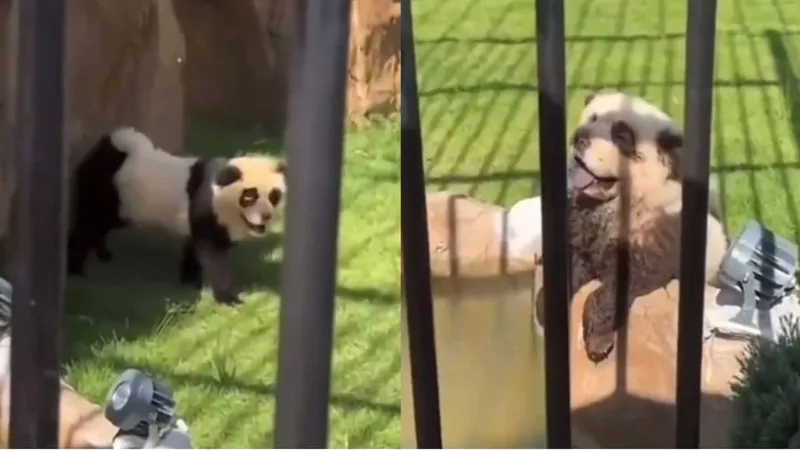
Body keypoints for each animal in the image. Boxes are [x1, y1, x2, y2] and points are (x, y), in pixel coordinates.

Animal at [68, 126, 288, 306]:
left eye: (273, 196)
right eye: (250, 196)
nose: (266, 216)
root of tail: (109, 149)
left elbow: (194, 250)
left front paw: (190, 282)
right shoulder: (206, 208)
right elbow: (213, 256)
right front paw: (230, 298)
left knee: (99, 227)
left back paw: (103, 253)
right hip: (106, 190)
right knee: (89, 225)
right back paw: (75, 269)